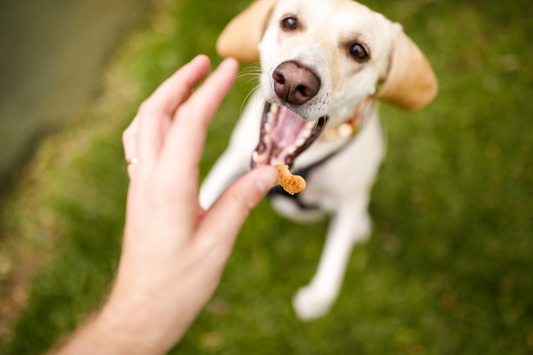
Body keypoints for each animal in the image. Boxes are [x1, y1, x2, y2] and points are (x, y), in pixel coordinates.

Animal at [200, 0, 436, 322]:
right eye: (289, 22)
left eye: (359, 51)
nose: (293, 81)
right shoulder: (231, 159)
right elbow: (202, 197)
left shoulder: (348, 202)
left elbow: (329, 281)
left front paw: (312, 301)